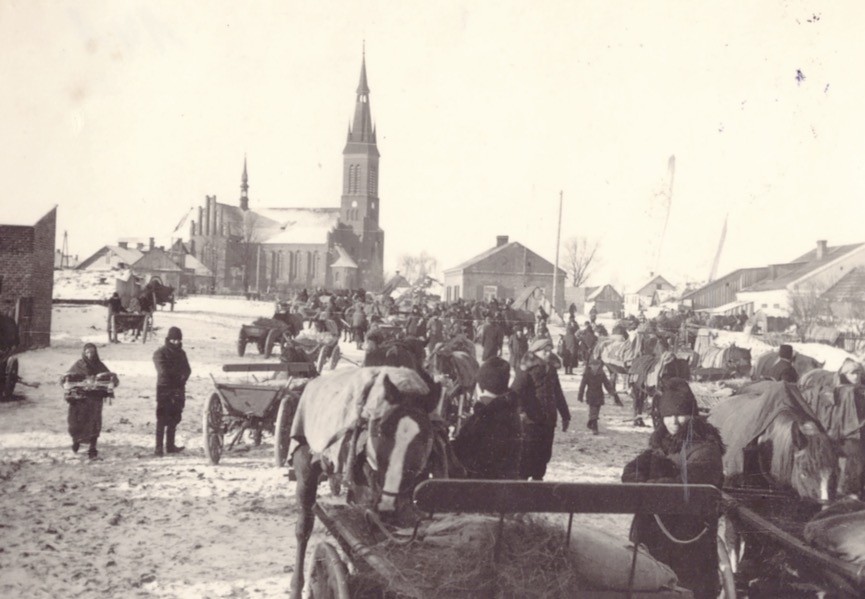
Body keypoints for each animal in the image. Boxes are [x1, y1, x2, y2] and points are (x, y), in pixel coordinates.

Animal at [288, 368, 452, 596]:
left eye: (425, 437)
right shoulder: (367, 498)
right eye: (380, 430)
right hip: (306, 470)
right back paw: (297, 584)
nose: (387, 505)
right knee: (303, 528)